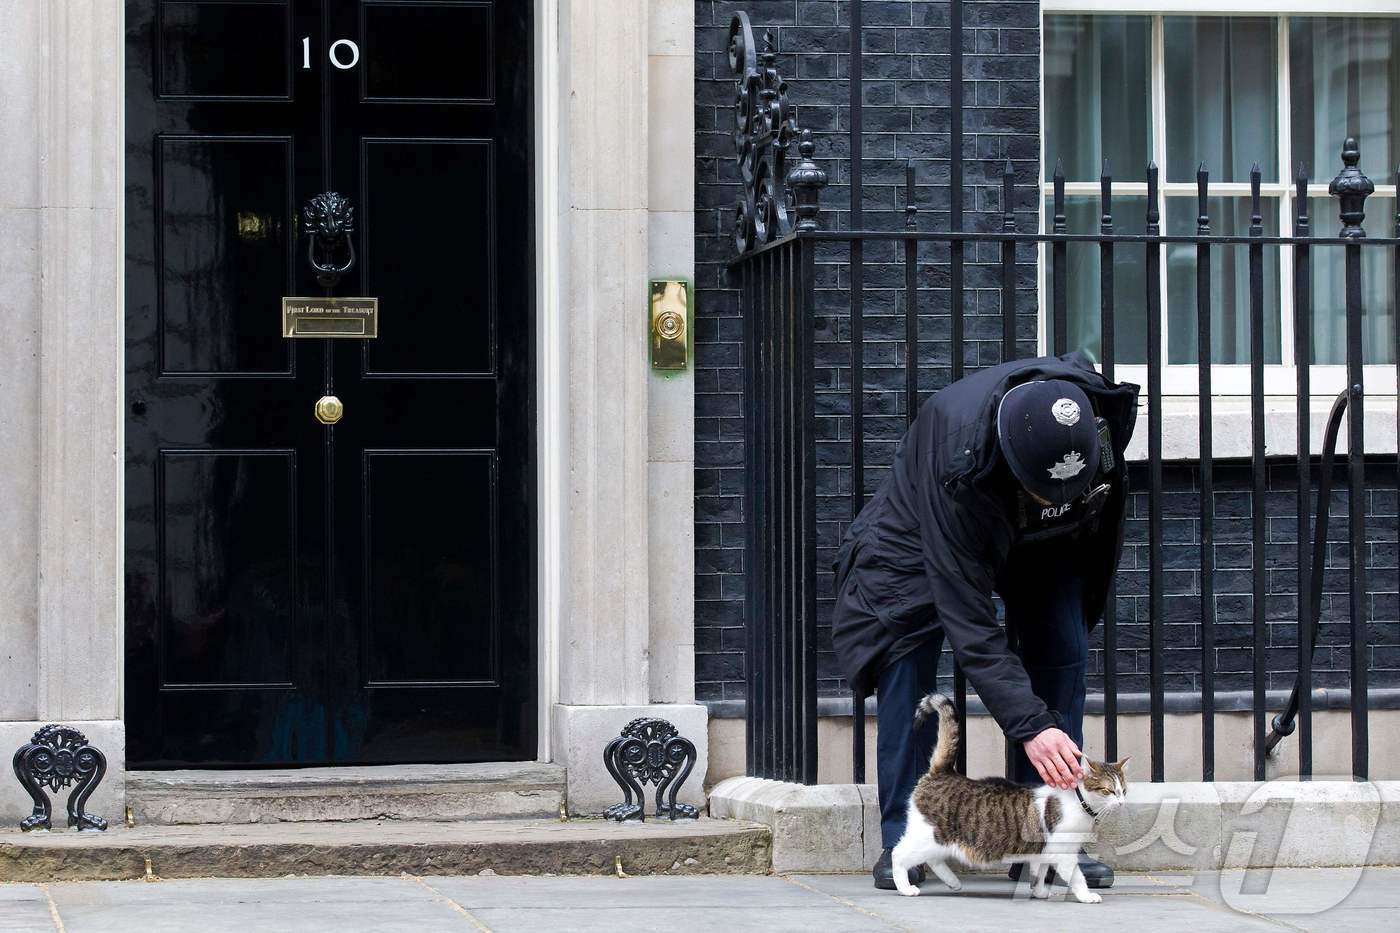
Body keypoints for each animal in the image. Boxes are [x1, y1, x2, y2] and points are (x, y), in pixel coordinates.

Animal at [890, 689, 1131, 902]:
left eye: (1124, 790)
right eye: (1109, 791)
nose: (1121, 802)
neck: (1079, 803)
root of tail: (942, 772)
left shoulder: (1043, 852)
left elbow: (1039, 874)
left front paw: (1039, 892)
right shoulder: (1063, 853)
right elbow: (1077, 877)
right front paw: (1087, 896)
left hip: (938, 841)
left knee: (933, 860)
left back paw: (953, 882)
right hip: (929, 835)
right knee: (899, 854)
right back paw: (905, 888)